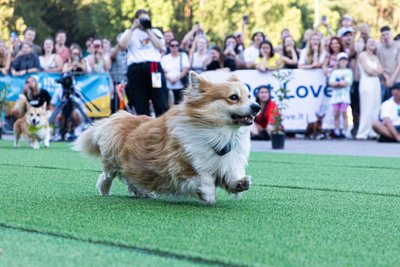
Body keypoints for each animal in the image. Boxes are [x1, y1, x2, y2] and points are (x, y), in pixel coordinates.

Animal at [74, 71, 260, 205]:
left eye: (249, 96)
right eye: (233, 97)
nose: (257, 107)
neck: (222, 135)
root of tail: (120, 116)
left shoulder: (228, 162)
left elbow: (231, 176)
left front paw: (241, 183)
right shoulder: (182, 165)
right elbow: (203, 178)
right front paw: (208, 196)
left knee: (132, 180)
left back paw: (143, 193)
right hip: (112, 162)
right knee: (106, 176)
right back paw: (105, 191)